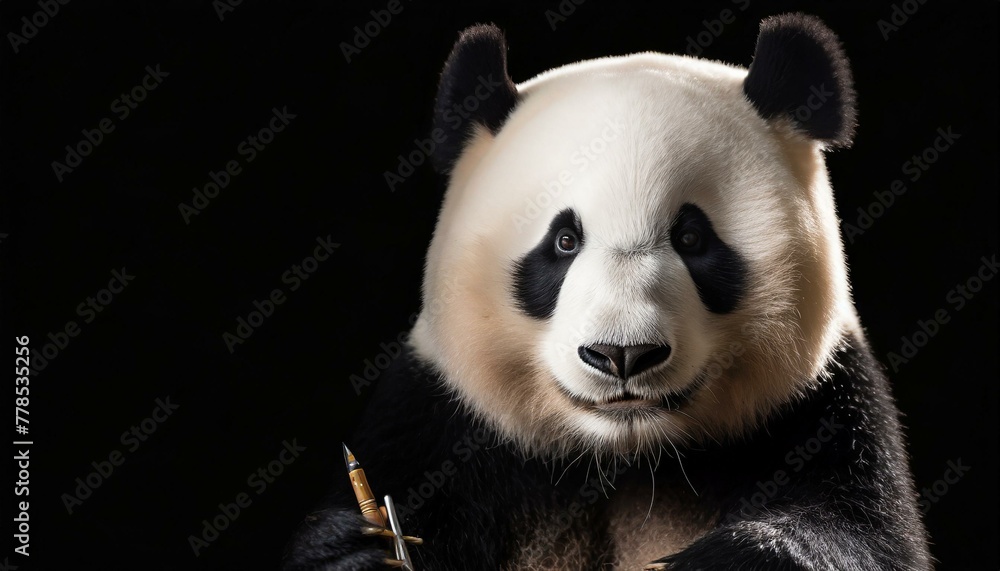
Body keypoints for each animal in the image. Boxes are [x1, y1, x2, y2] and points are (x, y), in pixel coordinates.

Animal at [284, 13, 931, 570]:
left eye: (692, 238)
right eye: (564, 241)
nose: (623, 354)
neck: (627, 459)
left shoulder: (823, 408)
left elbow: (862, 534)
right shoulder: (435, 421)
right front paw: (363, 554)